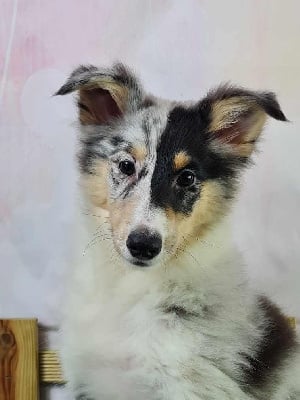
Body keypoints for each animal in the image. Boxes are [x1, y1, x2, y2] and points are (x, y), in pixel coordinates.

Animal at [55, 64, 298, 398]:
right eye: (126, 165)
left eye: (187, 177)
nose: (143, 246)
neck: (131, 288)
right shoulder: (86, 379)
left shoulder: (183, 385)